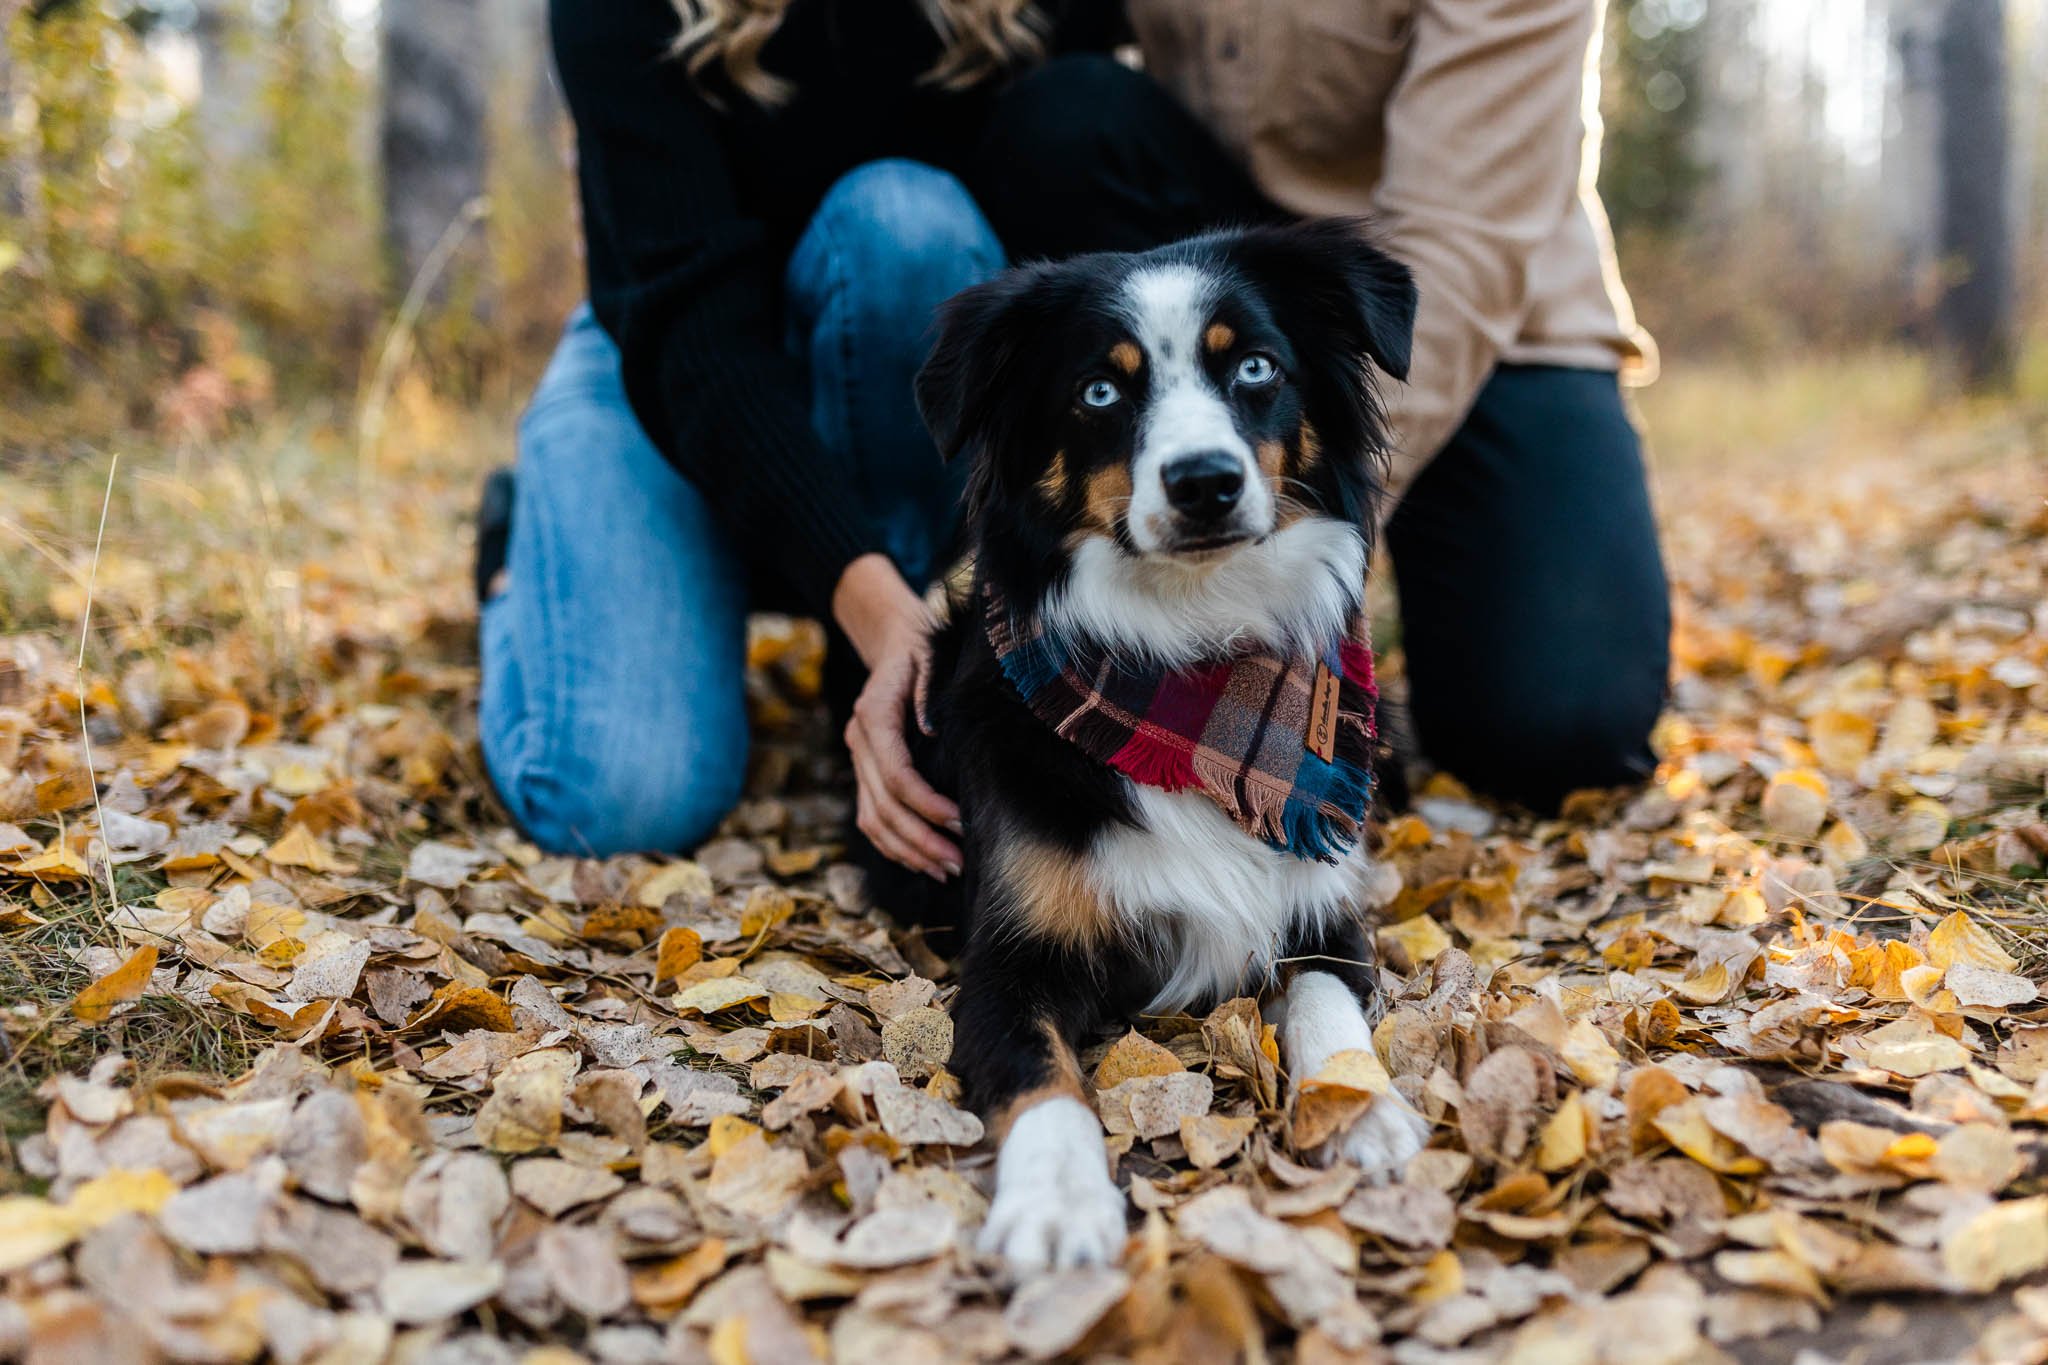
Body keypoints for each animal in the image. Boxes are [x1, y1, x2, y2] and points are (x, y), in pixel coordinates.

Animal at [909, 218, 1425, 1277]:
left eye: (1256, 367)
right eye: (1100, 391)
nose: (1205, 482)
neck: (1194, 653)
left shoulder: (1322, 904)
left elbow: (1325, 997)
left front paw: (1361, 1106)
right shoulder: (1007, 961)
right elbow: (1044, 1078)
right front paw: (1058, 1206)